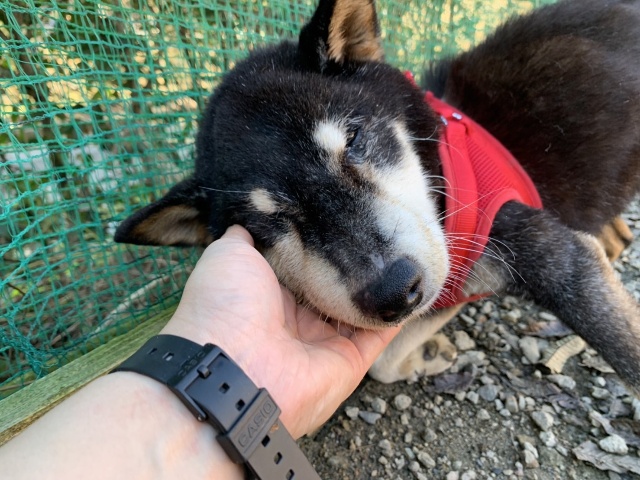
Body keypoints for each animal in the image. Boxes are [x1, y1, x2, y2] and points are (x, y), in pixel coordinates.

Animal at [115, 0, 640, 393]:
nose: (394, 290)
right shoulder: (451, 279)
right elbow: (384, 360)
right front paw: (426, 355)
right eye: (267, 225)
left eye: (354, 141)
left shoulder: (555, 259)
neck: (442, 174)